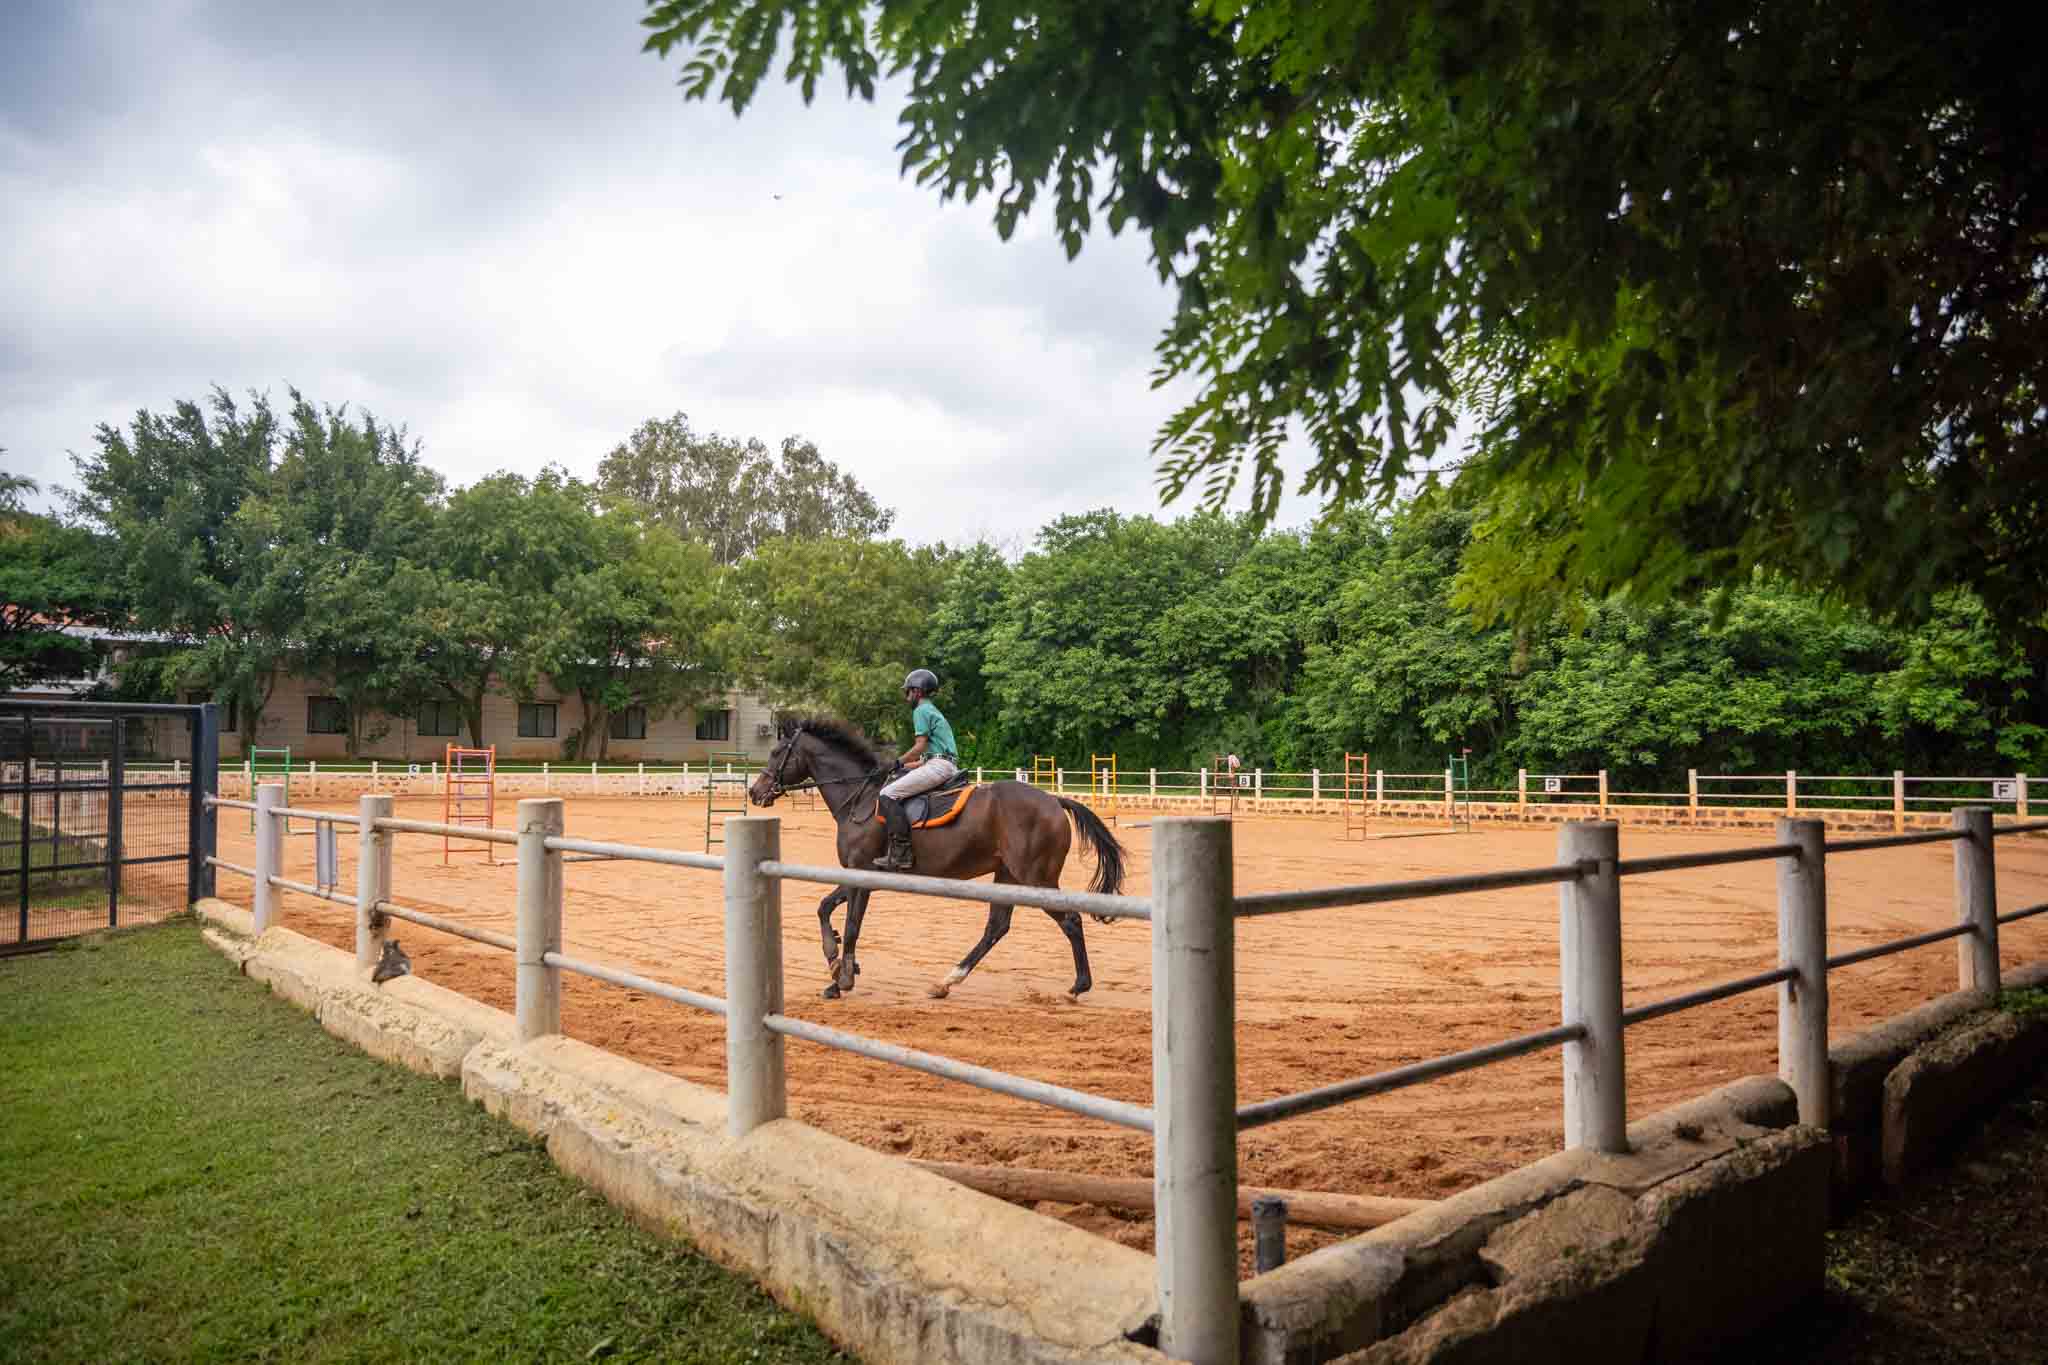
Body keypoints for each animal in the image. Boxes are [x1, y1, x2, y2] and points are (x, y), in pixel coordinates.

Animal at [746, 717, 1128, 1002]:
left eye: (777, 752)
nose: (754, 792)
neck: (859, 797)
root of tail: (1054, 800)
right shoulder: (857, 873)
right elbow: (825, 908)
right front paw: (834, 962)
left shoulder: (862, 876)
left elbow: (853, 925)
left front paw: (843, 979)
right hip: (1008, 875)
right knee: (997, 927)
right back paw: (947, 981)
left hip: (1036, 877)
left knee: (1070, 921)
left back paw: (1078, 986)